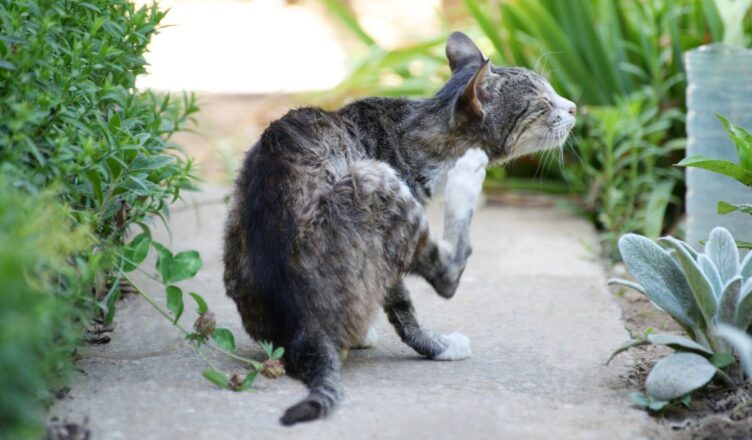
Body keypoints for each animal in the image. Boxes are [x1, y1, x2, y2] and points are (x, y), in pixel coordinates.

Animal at [223, 31, 576, 426]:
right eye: (541, 102)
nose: (574, 107)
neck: (417, 133)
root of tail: (302, 334)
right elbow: (404, 308)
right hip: (376, 179)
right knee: (446, 276)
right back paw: (467, 182)